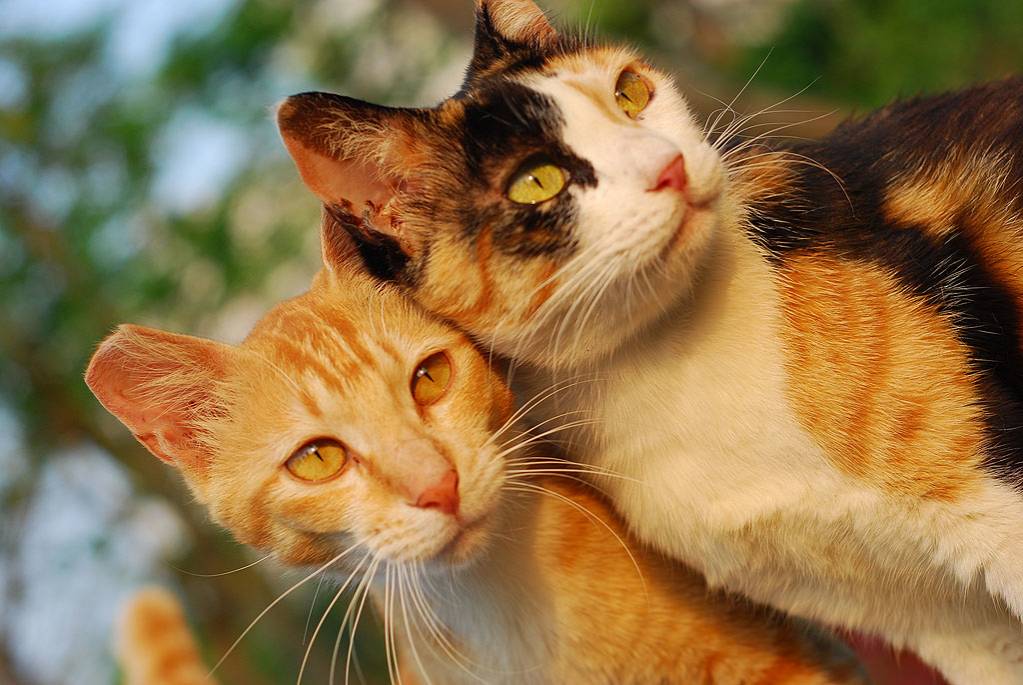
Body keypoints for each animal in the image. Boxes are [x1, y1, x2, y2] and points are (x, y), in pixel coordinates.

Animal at [272, 0, 1023, 682]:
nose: (672, 163)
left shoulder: (994, 518)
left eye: (629, 92)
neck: (675, 364)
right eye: (536, 180)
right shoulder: (928, 619)